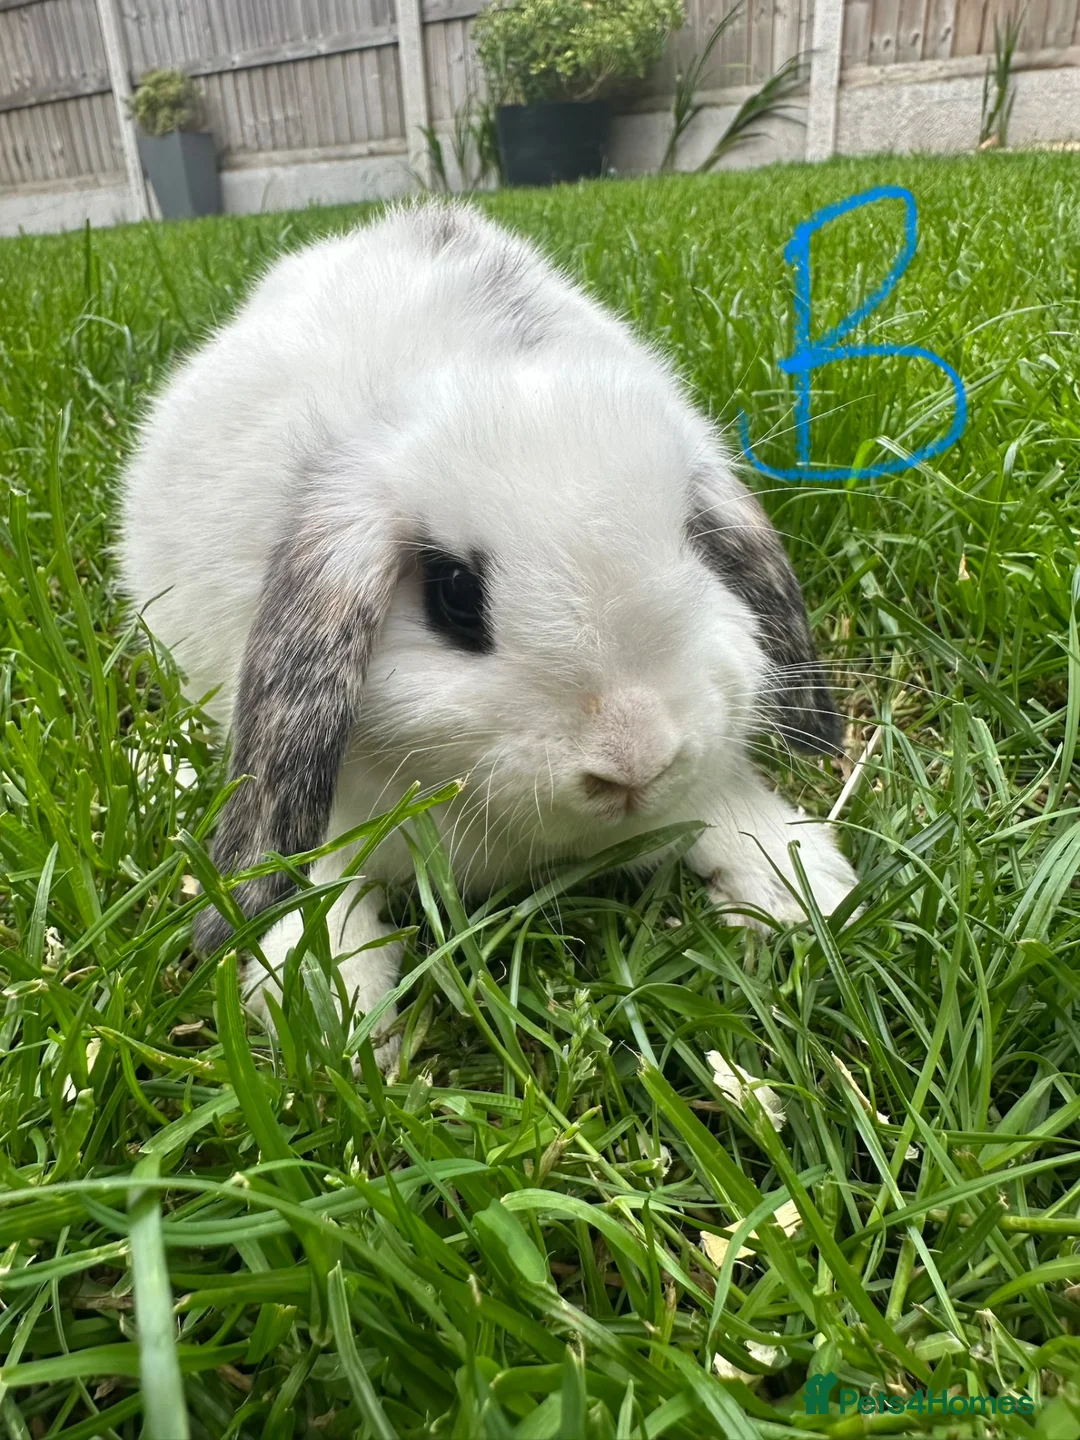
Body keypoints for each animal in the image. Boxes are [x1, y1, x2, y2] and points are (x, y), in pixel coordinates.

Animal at [118, 200, 857, 1065]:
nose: (634, 762)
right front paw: (341, 1023)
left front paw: (803, 884)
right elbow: (316, 892)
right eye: (455, 597)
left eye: (697, 545)